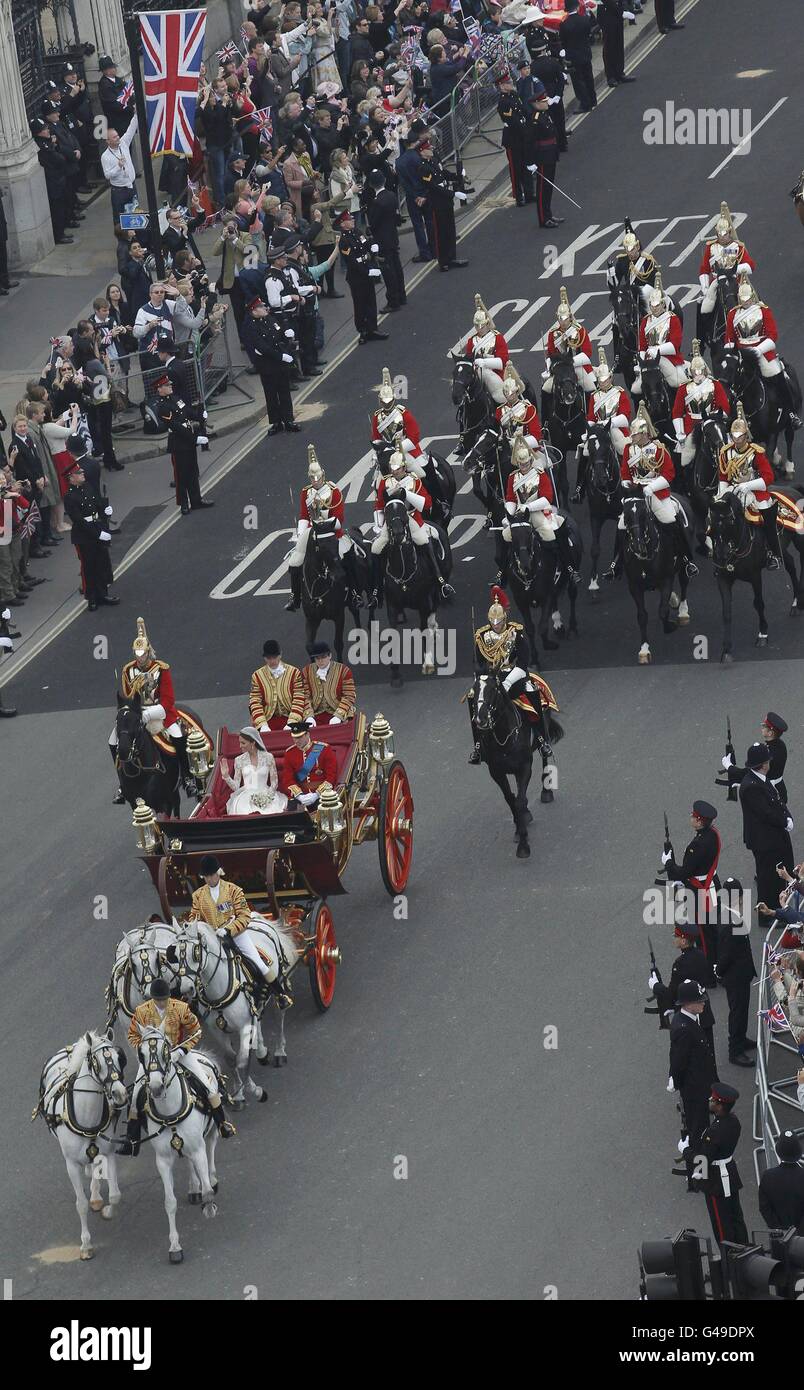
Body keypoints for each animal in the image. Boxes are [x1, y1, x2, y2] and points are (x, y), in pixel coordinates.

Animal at [33, 1034, 127, 1262]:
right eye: (97, 1062)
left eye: (119, 1058)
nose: (120, 1094)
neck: (86, 1115)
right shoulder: (72, 1165)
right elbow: (81, 1205)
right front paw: (86, 1245)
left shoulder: (108, 1153)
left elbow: (115, 1195)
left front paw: (108, 1210)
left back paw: (96, 1195)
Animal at [130, 1028, 222, 1267]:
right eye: (141, 1054)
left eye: (165, 1050)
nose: (156, 1087)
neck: (169, 1112)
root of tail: (200, 1053)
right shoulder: (163, 1160)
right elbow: (170, 1202)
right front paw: (175, 1247)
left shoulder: (198, 1148)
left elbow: (208, 1190)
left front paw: (209, 1206)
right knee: (189, 1162)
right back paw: (193, 1188)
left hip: (211, 1127)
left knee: (211, 1147)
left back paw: (212, 1178)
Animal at [467, 672, 559, 856]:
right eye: (474, 689)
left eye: (493, 690)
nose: (480, 719)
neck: (504, 737)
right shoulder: (496, 772)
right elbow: (511, 799)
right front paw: (518, 829)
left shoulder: (524, 768)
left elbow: (520, 800)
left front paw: (523, 844)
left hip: (543, 730)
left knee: (544, 756)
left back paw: (546, 792)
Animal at [617, 492, 684, 664]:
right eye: (626, 516)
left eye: (644, 515)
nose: (638, 546)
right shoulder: (634, 586)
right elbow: (642, 616)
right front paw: (644, 649)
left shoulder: (666, 579)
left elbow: (662, 610)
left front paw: (670, 626)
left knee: (684, 583)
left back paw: (683, 612)